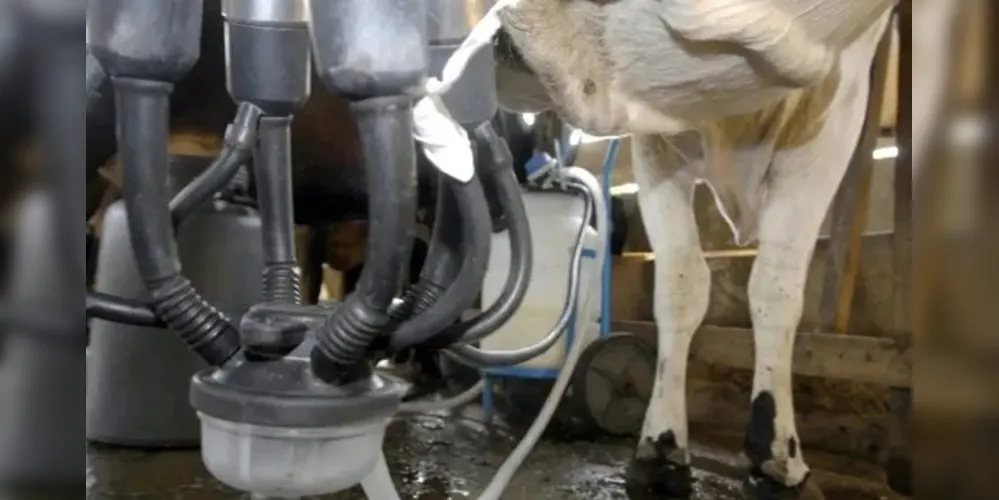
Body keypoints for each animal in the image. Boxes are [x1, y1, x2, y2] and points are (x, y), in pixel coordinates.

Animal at [491, 0, 894, 498]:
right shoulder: (653, 143)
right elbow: (681, 289)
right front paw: (662, 447)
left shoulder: (835, 110)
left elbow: (775, 289)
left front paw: (778, 459)